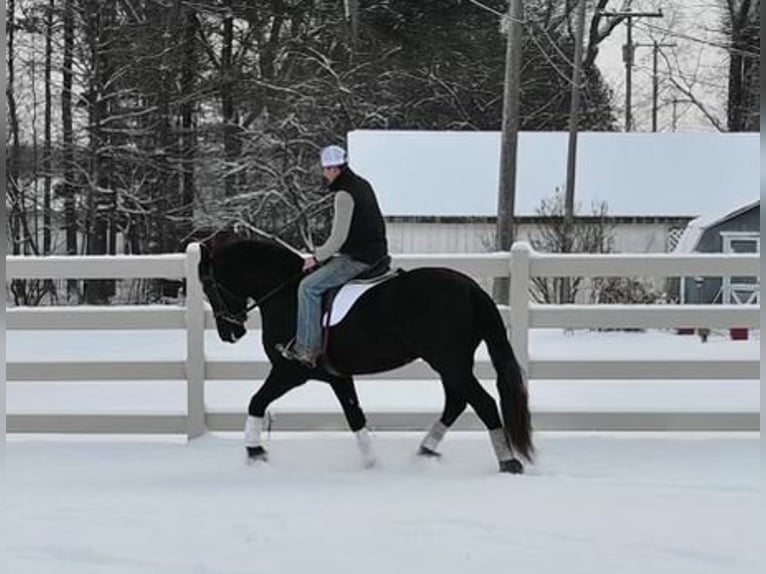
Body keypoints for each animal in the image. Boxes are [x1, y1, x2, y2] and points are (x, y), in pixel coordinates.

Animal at [198, 241, 536, 474]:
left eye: (208, 285)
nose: (230, 333)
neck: (286, 295)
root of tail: (470, 288)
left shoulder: (290, 371)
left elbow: (256, 401)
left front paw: (255, 452)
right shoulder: (336, 376)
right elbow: (355, 415)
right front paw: (372, 462)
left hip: (449, 362)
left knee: (483, 403)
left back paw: (508, 463)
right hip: (451, 363)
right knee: (456, 402)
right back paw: (424, 452)